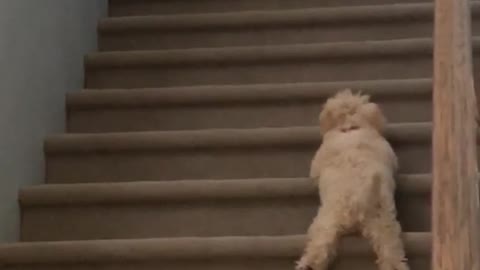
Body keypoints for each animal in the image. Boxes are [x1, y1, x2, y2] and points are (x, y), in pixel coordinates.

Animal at [296, 89, 408, 270]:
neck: (350, 127)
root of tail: (357, 200)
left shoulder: (318, 160)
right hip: (382, 223)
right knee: (389, 250)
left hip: (326, 220)